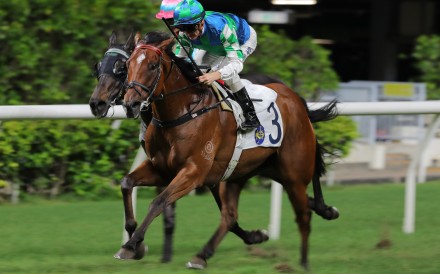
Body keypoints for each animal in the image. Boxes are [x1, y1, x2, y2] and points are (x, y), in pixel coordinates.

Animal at [115, 31, 338, 270]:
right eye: (127, 65)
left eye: (153, 65)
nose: (130, 104)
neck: (182, 113)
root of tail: (295, 98)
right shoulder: (162, 169)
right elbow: (127, 183)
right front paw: (133, 238)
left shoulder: (193, 172)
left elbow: (158, 201)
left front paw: (132, 245)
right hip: (248, 171)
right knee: (230, 215)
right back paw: (204, 254)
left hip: (294, 169)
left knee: (303, 211)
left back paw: (304, 260)